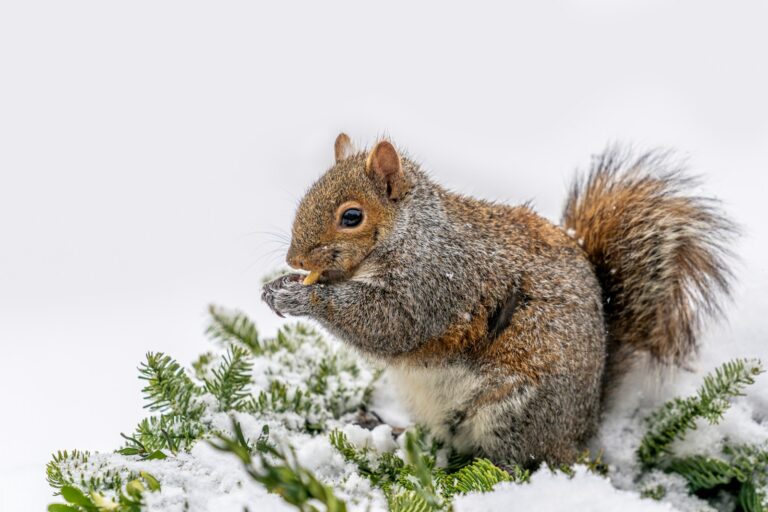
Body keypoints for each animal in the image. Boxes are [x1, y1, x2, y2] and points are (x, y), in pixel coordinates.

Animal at [262, 133, 735, 467]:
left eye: (351, 217)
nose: (294, 259)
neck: (410, 231)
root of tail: (582, 427)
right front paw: (278, 285)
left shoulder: (434, 281)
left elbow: (389, 323)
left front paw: (303, 296)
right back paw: (395, 432)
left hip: (515, 407)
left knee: (522, 458)